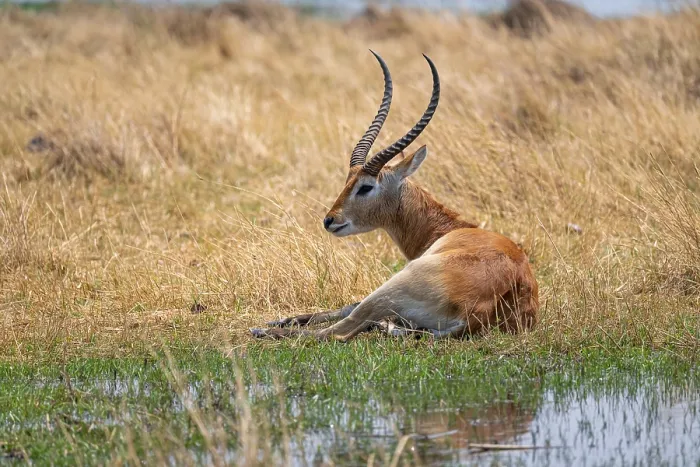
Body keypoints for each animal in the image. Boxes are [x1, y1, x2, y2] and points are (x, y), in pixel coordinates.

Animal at [250, 51, 538, 341]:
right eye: (347, 180)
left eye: (365, 187)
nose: (330, 220)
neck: (450, 230)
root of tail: (478, 312)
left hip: (392, 286)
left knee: (338, 331)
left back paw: (262, 329)